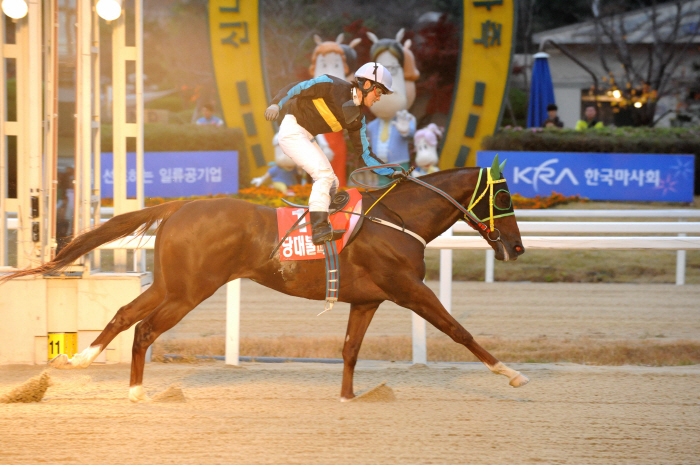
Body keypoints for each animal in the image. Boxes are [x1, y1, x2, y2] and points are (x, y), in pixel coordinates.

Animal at [0, 155, 524, 398]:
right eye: (503, 199)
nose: (517, 248)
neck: (396, 220)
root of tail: (178, 207)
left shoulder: (367, 299)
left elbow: (350, 350)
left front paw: (349, 398)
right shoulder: (409, 289)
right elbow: (458, 330)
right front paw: (511, 373)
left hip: (172, 284)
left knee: (125, 314)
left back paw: (81, 361)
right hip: (190, 291)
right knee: (145, 329)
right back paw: (135, 392)